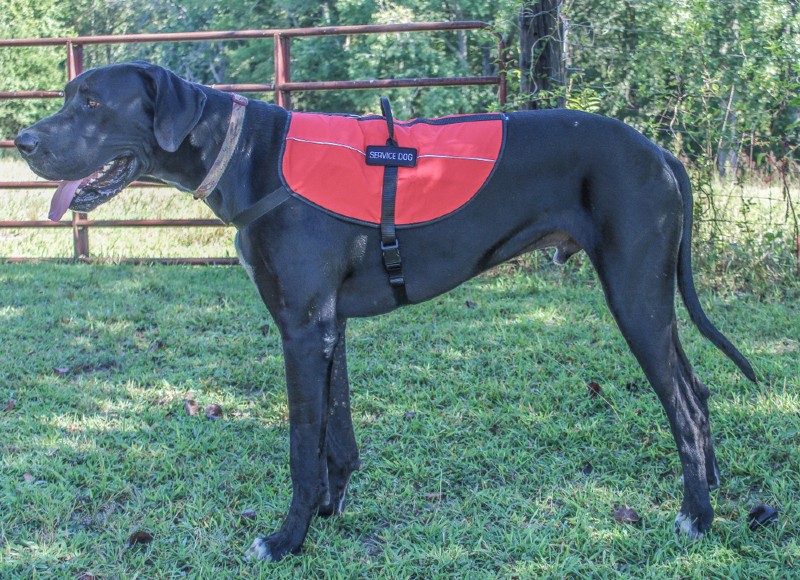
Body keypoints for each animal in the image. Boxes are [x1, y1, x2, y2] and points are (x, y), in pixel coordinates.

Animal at [14, 61, 756, 560]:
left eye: (91, 102)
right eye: (66, 98)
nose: (22, 141)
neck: (248, 156)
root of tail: (661, 154)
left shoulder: (301, 326)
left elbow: (301, 445)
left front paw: (287, 539)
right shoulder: (327, 324)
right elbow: (337, 434)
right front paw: (330, 510)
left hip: (634, 293)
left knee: (683, 402)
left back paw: (697, 515)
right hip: (649, 295)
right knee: (698, 390)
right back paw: (714, 485)